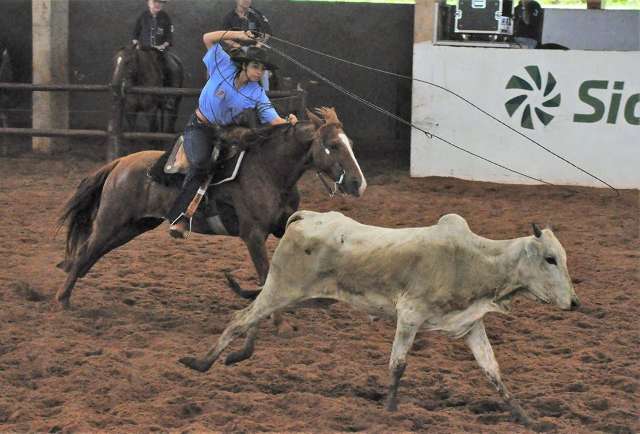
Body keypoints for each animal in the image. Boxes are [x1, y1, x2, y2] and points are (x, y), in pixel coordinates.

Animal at [56, 107, 364, 312]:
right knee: (85, 251)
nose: (358, 183)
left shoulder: (282, 226)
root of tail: (119, 163)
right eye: (333, 145)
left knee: (91, 254)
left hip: (132, 226)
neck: (268, 170)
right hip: (111, 221)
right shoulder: (253, 234)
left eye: (350, 144)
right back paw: (62, 298)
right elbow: (265, 275)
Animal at [180, 211, 580, 428]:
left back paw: (237, 355)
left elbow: (493, 372)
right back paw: (201, 362)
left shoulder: (469, 324)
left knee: (254, 319)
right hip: (283, 287)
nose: (575, 302)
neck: (473, 260)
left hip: (297, 294)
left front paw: (526, 418)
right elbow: (398, 365)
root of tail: (305, 216)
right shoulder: (410, 316)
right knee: (240, 318)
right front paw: (389, 410)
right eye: (549, 259)